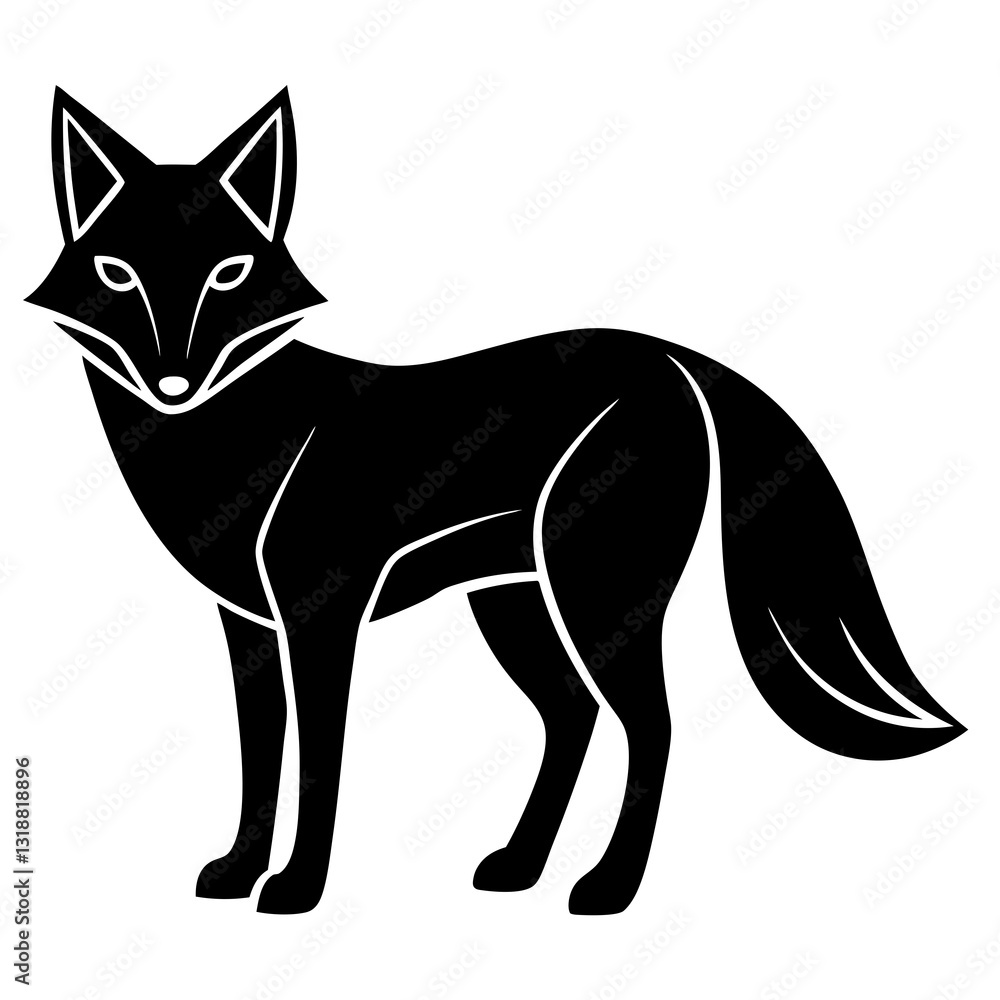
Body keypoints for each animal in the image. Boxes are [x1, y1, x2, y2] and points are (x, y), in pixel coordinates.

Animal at [28, 86, 964, 916]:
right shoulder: (247, 622)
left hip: (597, 594)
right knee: (574, 715)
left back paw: (608, 888)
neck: (230, 439)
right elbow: (261, 754)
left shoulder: (321, 615)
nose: (173, 381)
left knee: (651, 726)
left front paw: (296, 889)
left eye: (229, 273)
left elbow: (320, 761)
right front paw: (237, 871)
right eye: (117, 273)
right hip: (515, 603)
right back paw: (521, 866)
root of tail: (671, 357)